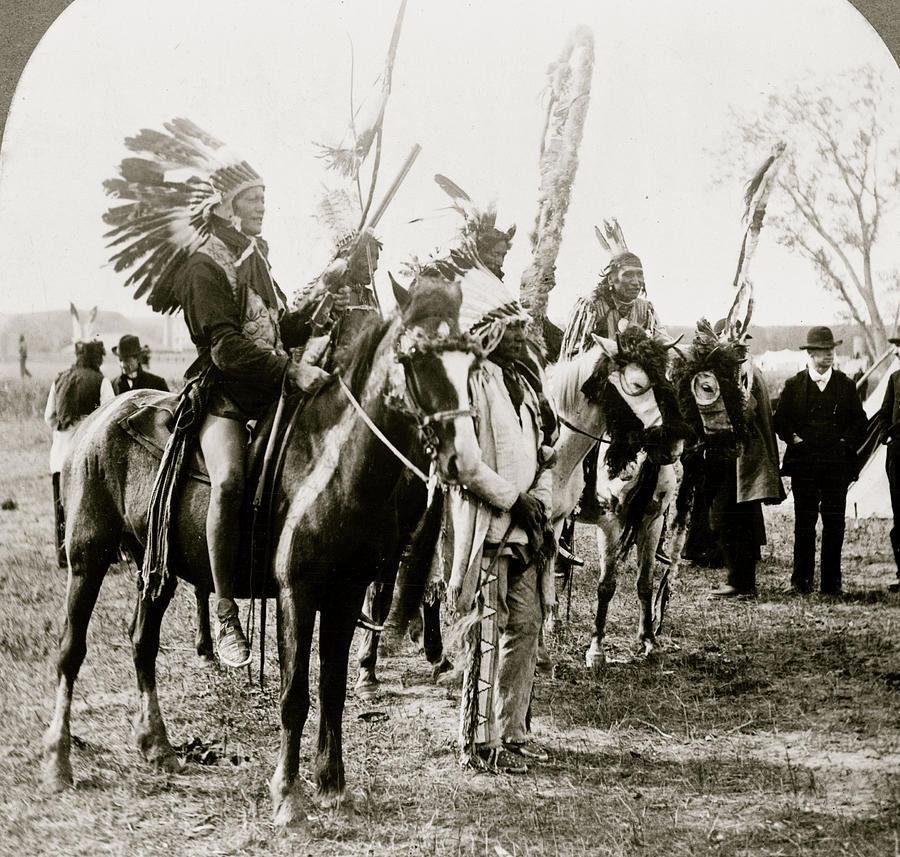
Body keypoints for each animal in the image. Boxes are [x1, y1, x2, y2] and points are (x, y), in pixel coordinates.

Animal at [40, 278, 486, 824]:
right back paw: (59, 761)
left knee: (142, 642)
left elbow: (333, 690)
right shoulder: (298, 594)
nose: (465, 459)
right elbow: (296, 694)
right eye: (416, 357)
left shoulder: (344, 596)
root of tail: (97, 418)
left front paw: (332, 785)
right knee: (71, 651)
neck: (332, 466)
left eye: (473, 361)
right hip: (88, 557)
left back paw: (157, 744)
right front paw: (288, 795)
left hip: (157, 567)